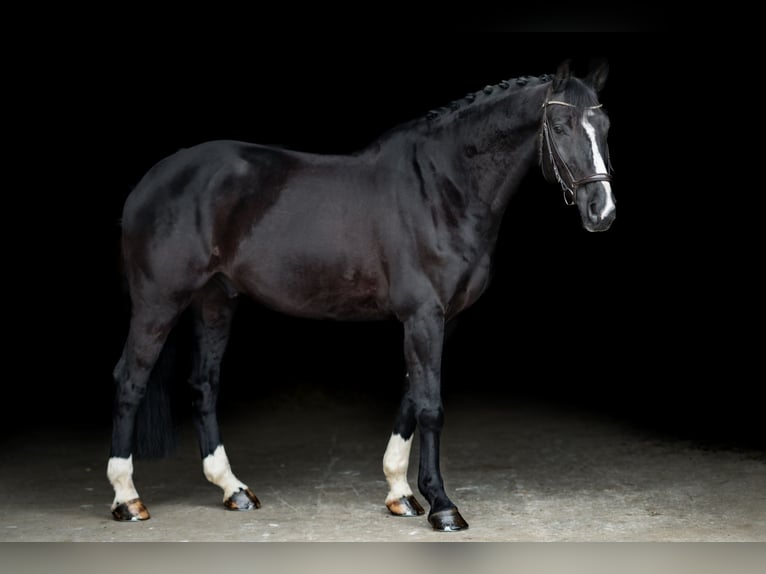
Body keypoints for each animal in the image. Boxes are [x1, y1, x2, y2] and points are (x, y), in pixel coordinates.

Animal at [108, 58, 616, 532]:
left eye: (605, 126)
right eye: (560, 125)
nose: (602, 211)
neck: (441, 189)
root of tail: (151, 180)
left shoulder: (440, 320)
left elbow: (411, 398)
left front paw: (401, 494)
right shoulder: (423, 316)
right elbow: (430, 407)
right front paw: (443, 506)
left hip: (214, 301)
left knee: (204, 384)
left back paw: (233, 489)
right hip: (159, 302)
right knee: (130, 383)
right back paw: (127, 499)